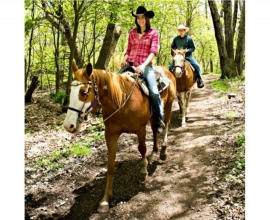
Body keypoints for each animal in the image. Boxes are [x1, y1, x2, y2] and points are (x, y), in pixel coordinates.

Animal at [63, 60, 177, 213]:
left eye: (84, 92)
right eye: (70, 91)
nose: (68, 125)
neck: (121, 101)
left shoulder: (140, 129)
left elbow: (142, 148)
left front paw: (144, 169)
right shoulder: (111, 134)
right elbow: (110, 165)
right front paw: (105, 199)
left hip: (168, 105)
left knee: (166, 125)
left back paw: (163, 151)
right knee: (154, 129)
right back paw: (154, 152)